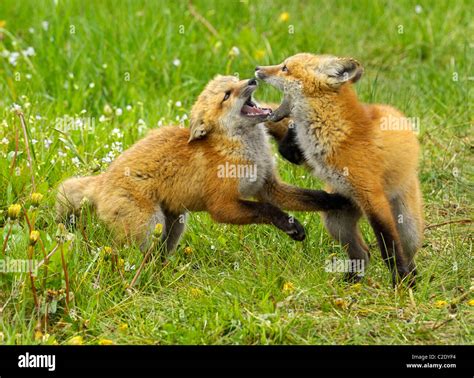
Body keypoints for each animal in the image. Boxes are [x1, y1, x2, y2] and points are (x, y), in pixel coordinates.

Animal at [56, 74, 352, 254]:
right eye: (227, 95)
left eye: (236, 81)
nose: (251, 78)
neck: (245, 152)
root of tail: (103, 178)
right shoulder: (221, 205)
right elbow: (266, 210)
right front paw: (289, 225)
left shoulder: (268, 186)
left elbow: (313, 198)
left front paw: (341, 201)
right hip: (149, 226)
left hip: (174, 225)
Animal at [258, 52, 424, 284]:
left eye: (284, 68)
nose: (257, 69)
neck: (334, 130)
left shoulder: (373, 197)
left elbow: (389, 249)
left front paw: (398, 283)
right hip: (336, 221)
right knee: (363, 253)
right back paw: (351, 282)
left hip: (407, 225)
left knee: (407, 254)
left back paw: (411, 280)